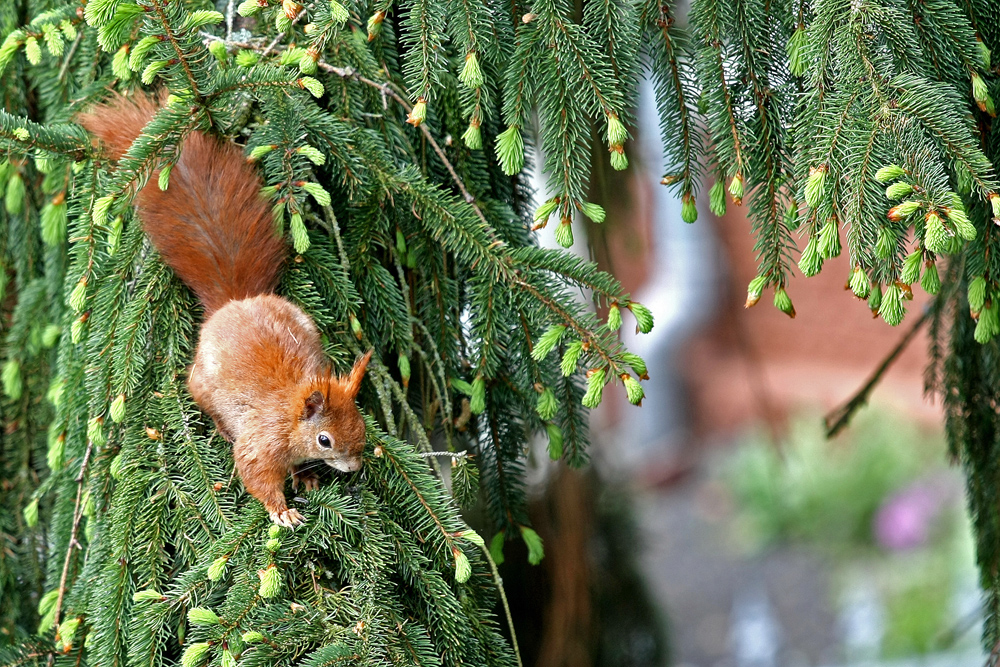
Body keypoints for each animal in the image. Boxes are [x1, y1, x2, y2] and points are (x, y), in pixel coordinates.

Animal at [81, 96, 372, 528]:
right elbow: (255, 474)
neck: (288, 414)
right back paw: (221, 429)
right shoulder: (261, 441)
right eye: (325, 440)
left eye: (360, 420)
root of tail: (235, 301)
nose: (354, 467)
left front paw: (306, 479)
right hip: (202, 385)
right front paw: (282, 511)